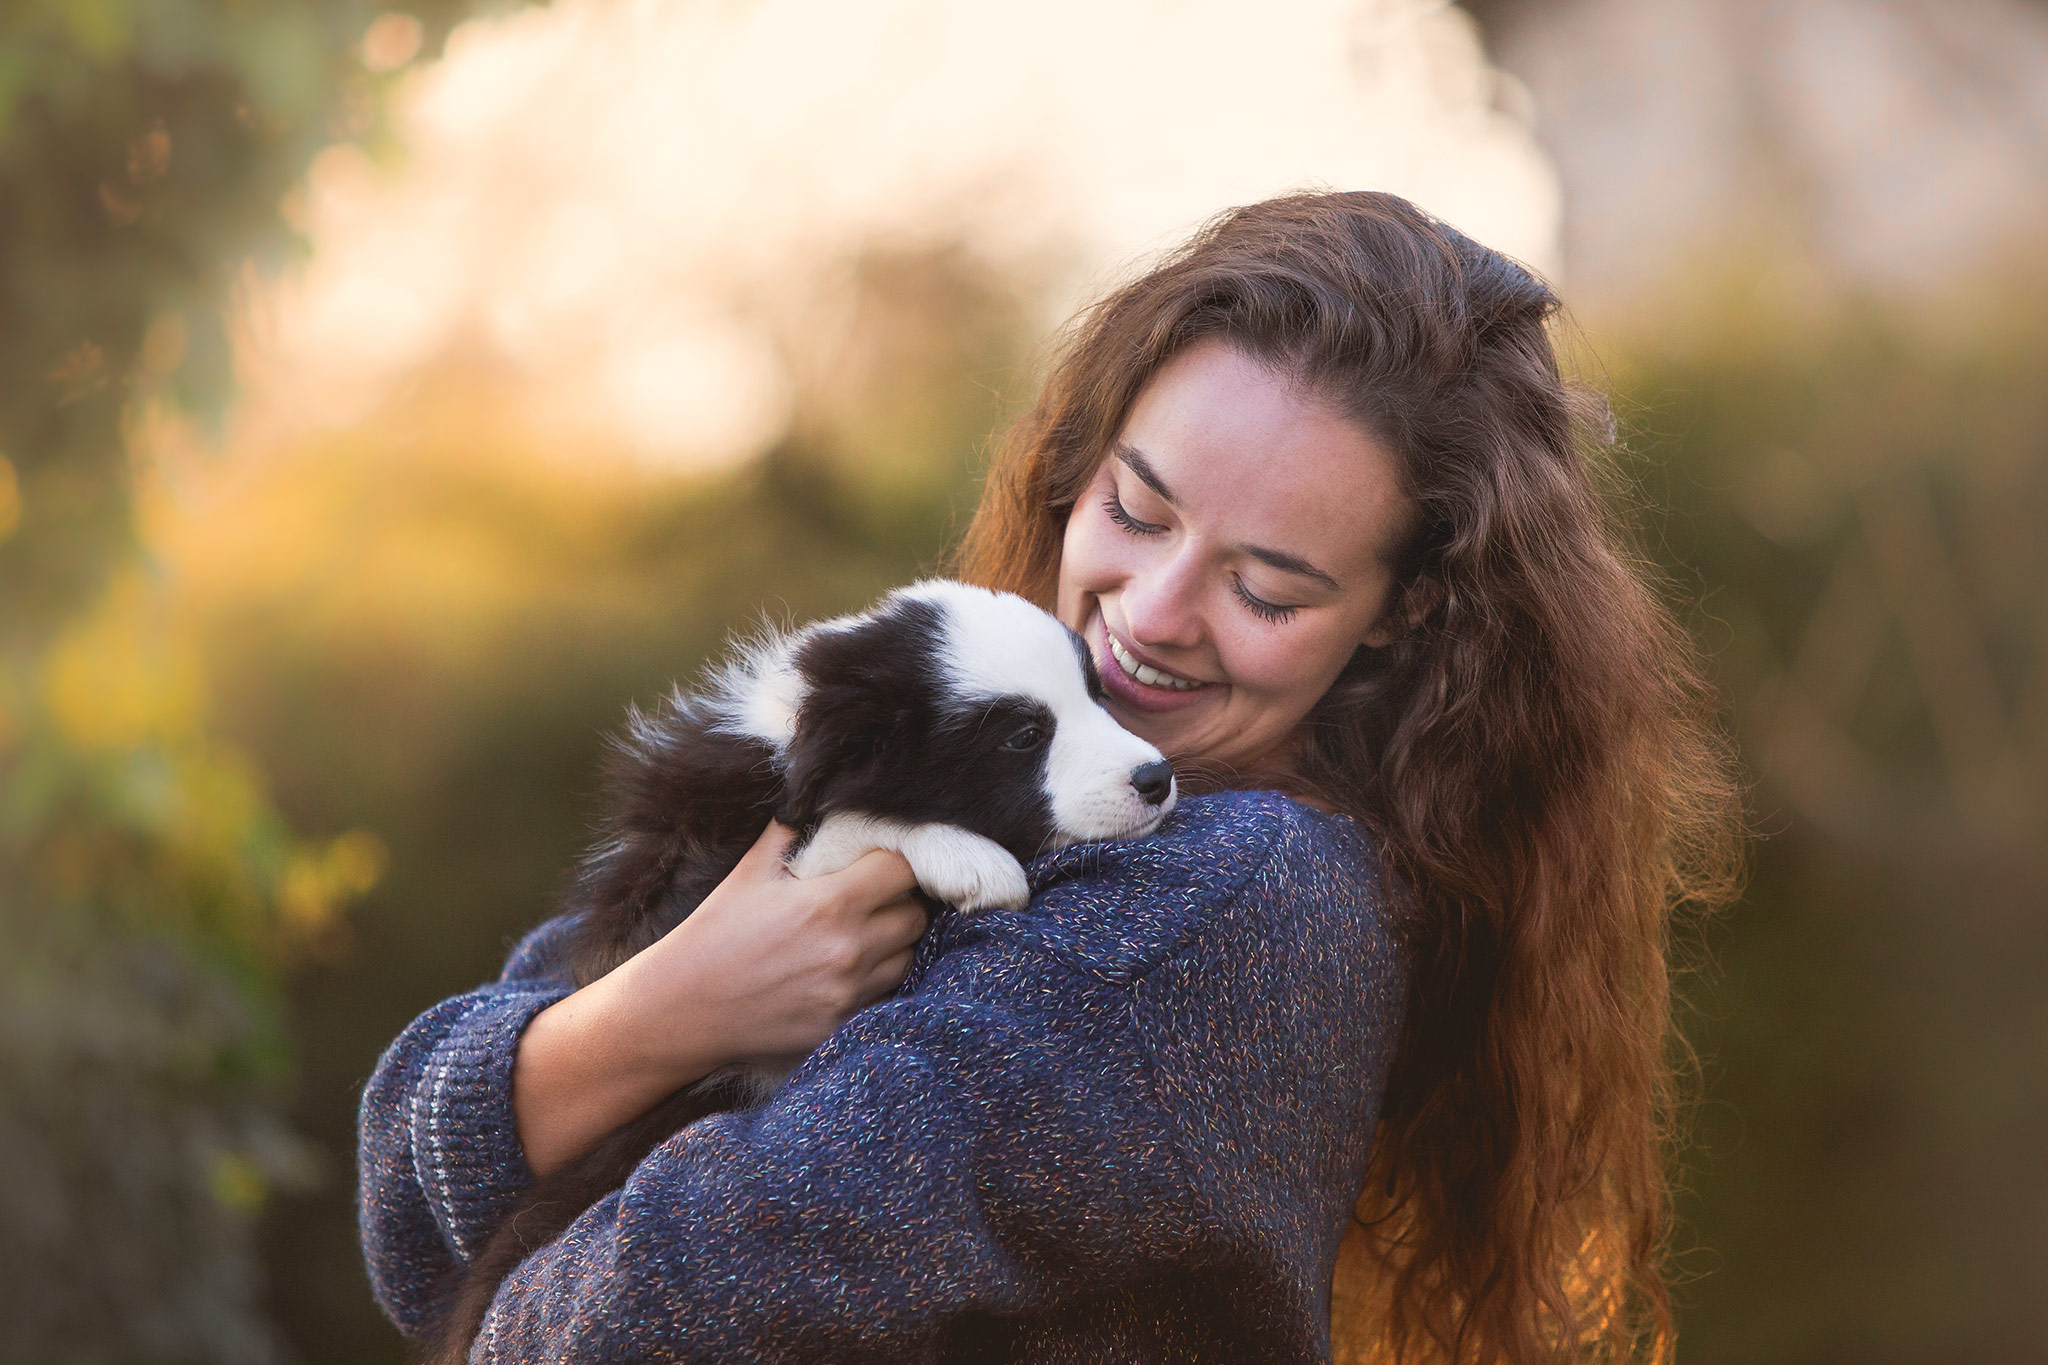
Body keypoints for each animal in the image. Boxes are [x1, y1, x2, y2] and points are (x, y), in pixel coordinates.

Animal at [419, 581, 1171, 1365]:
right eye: (1022, 736)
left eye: (1096, 695)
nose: (1156, 778)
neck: (799, 739)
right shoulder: (673, 902)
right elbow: (845, 823)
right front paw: (969, 858)